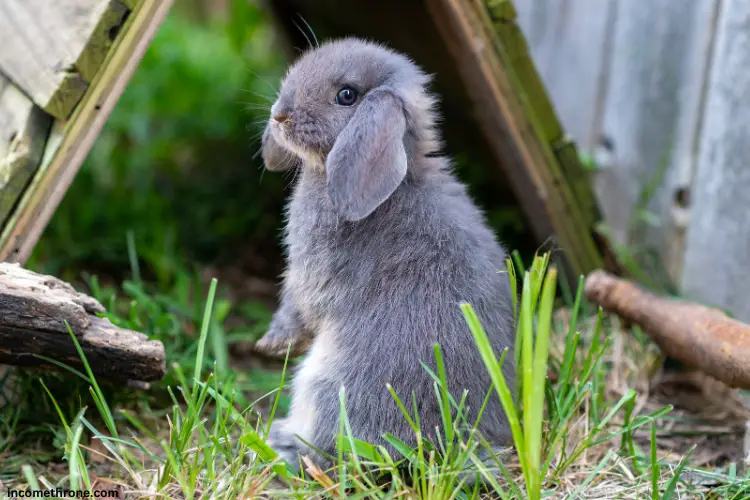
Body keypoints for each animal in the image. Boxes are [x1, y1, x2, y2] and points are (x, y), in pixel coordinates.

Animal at [260, 38, 516, 468]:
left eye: (347, 96)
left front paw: (271, 342)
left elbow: (296, 308)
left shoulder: (310, 278)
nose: (279, 115)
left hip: (322, 385)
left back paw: (282, 443)